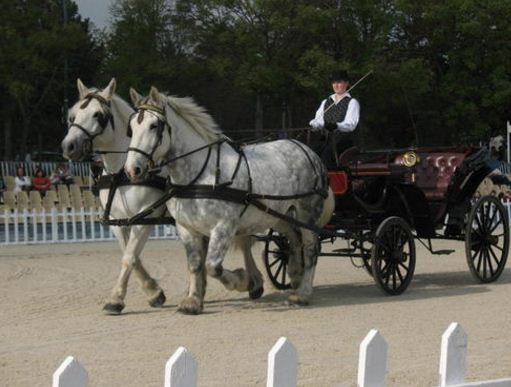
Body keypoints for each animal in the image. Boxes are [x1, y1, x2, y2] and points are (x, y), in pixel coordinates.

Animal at [60, 79, 168, 316]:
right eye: (72, 114)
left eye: (98, 115)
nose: (68, 147)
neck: (122, 173)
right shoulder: (119, 220)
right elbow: (131, 255)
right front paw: (154, 292)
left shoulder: (145, 217)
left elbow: (129, 257)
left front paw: (115, 300)